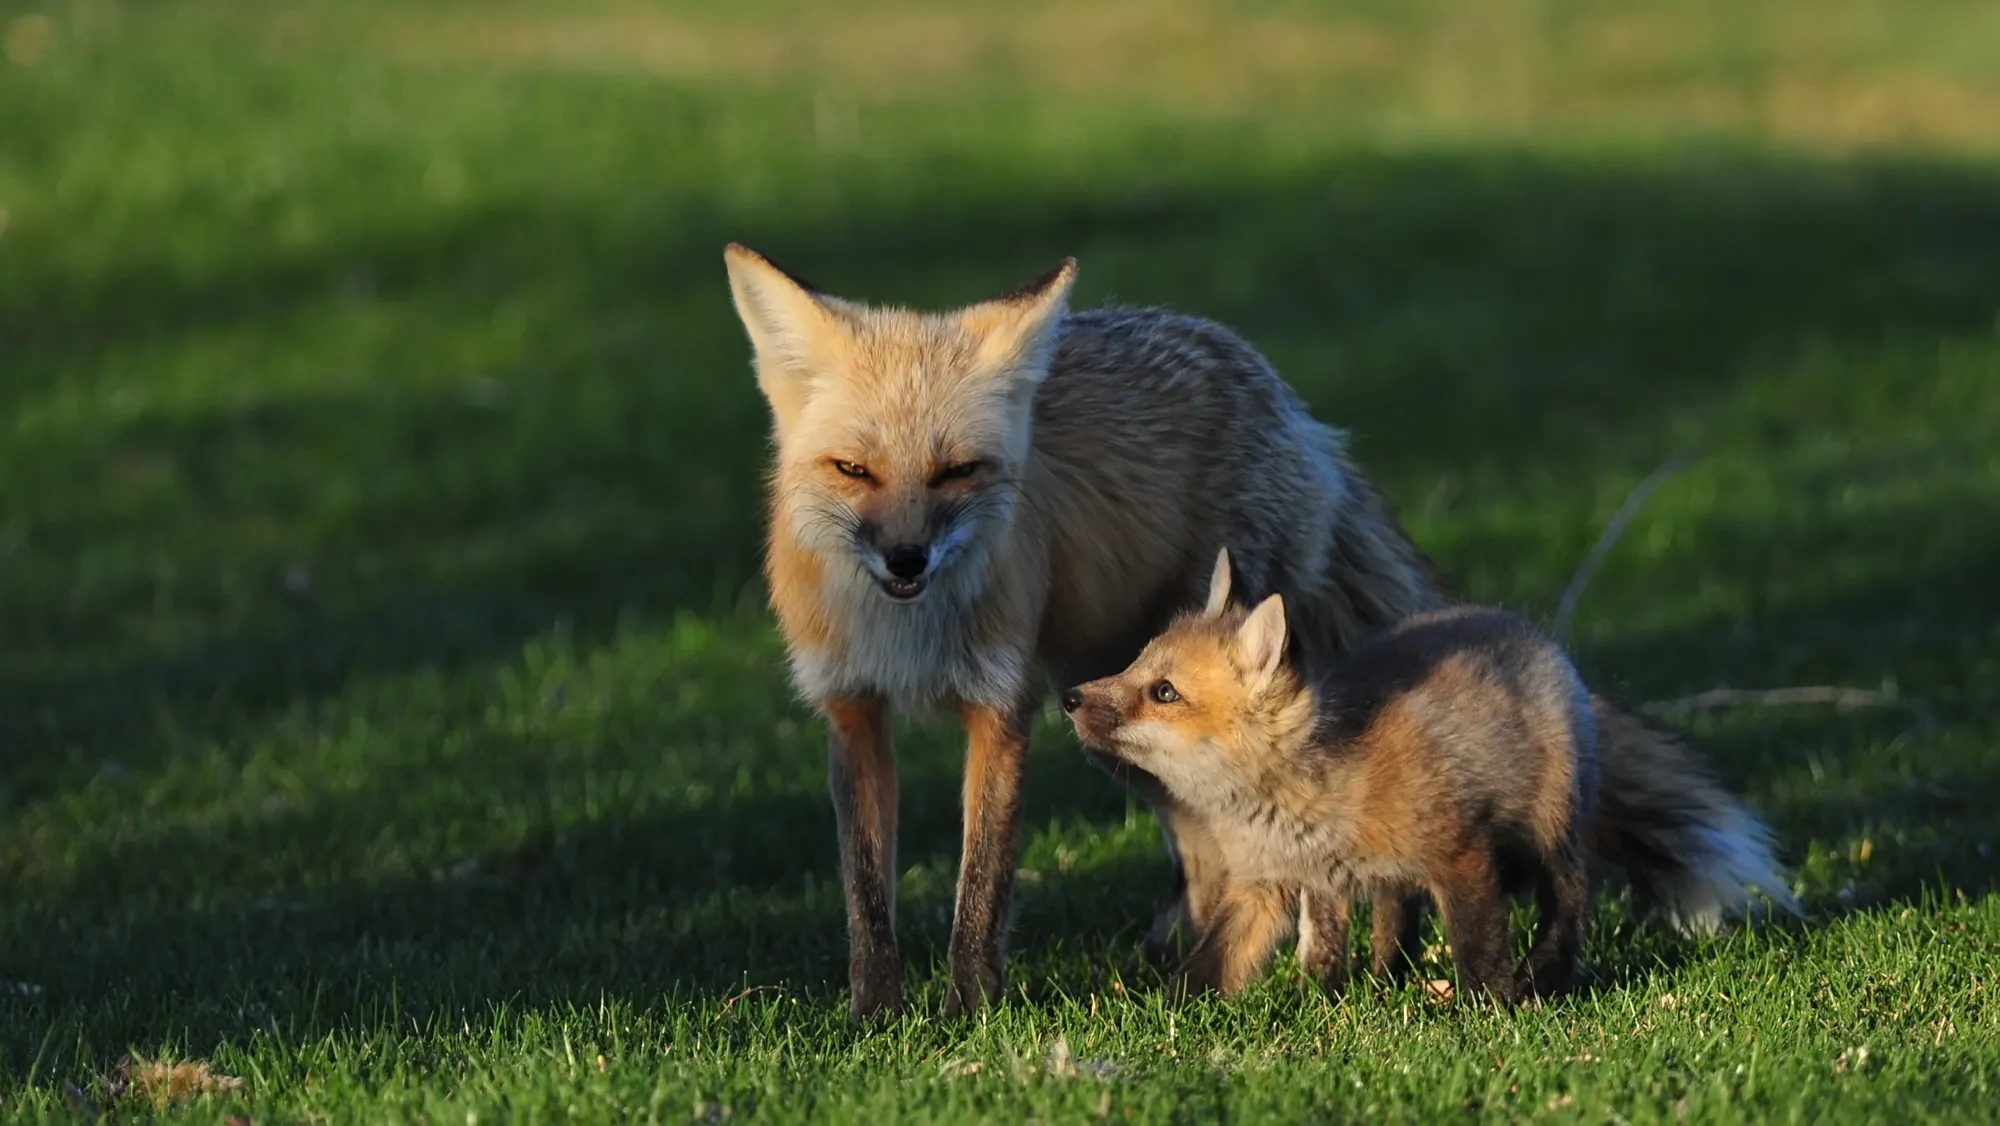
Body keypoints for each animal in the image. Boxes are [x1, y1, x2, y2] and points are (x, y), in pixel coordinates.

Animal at [1065, 549, 1601, 1002]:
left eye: (1164, 692)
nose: (1070, 697)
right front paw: (1171, 1010)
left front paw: (1487, 1008)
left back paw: (1546, 971)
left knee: (1570, 898)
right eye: (1135, 664)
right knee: (1393, 921)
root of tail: (1522, 625)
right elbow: (1213, 961)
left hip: (1550, 829)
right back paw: (1381, 982)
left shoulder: (1461, 855)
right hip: (1384, 881)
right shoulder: (1263, 885)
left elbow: (1478, 947)